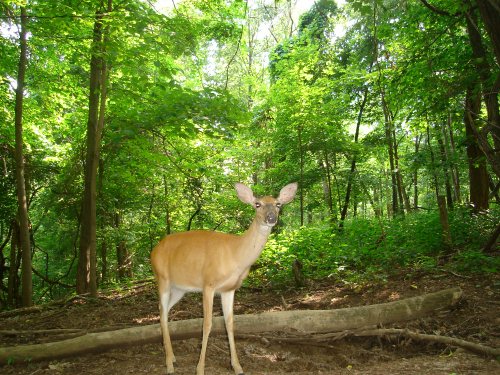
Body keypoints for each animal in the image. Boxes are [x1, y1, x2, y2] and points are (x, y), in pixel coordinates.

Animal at [150, 181, 298, 374]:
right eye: (257, 204)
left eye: (278, 204)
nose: (271, 217)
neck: (236, 255)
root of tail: (153, 251)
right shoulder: (208, 283)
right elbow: (207, 324)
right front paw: (200, 368)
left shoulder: (229, 289)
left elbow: (230, 323)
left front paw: (237, 366)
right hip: (162, 278)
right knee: (161, 311)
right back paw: (168, 363)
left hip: (179, 288)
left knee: (165, 312)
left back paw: (172, 357)